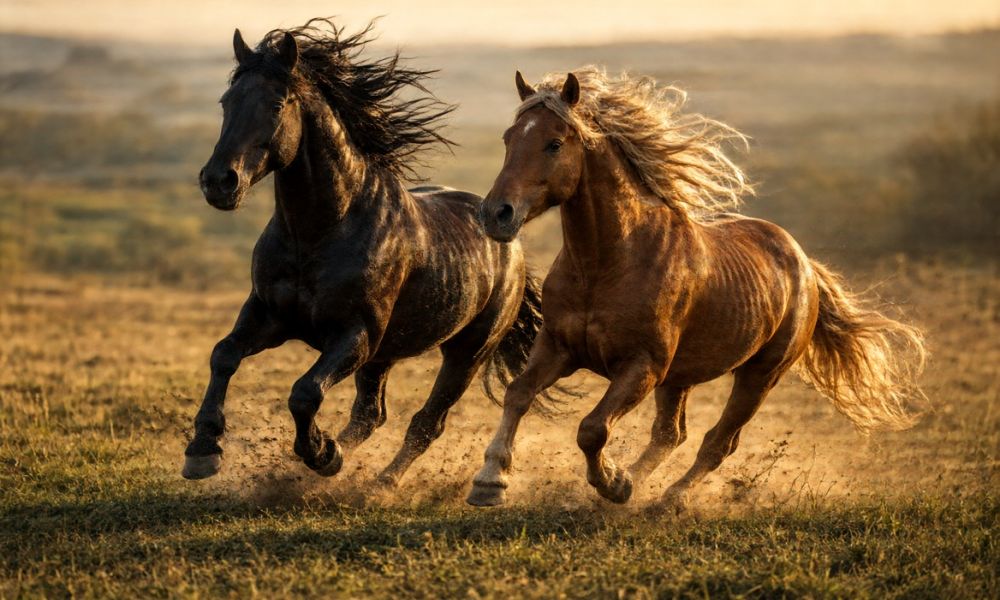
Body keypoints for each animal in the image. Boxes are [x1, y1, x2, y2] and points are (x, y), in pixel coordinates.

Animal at [182, 19, 546, 487]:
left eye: (277, 104)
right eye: (226, 101)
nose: (218, 182)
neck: (318, 233)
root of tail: (510, 242)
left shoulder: (355, 335)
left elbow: (305, 392)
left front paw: (320, 453)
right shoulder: (268, 315)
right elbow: (223, 356)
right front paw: (203, 450)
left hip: (467, 351)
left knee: (426, 423)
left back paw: (380, 483)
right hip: (386, 354)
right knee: (371, 415)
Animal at [467, 67, 926, 510]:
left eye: (554, 144)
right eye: (509, 138)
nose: (496, 214)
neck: (608, 263)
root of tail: (804, 264)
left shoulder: (642, 367)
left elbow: (592, 429)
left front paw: (612, 483)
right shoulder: (558, 348)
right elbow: (518, 394)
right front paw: (490, 481)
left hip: (759, 376)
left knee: (718, 443)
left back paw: (668, 500)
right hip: (680, 379)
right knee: (671, 435)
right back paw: (637, 485)